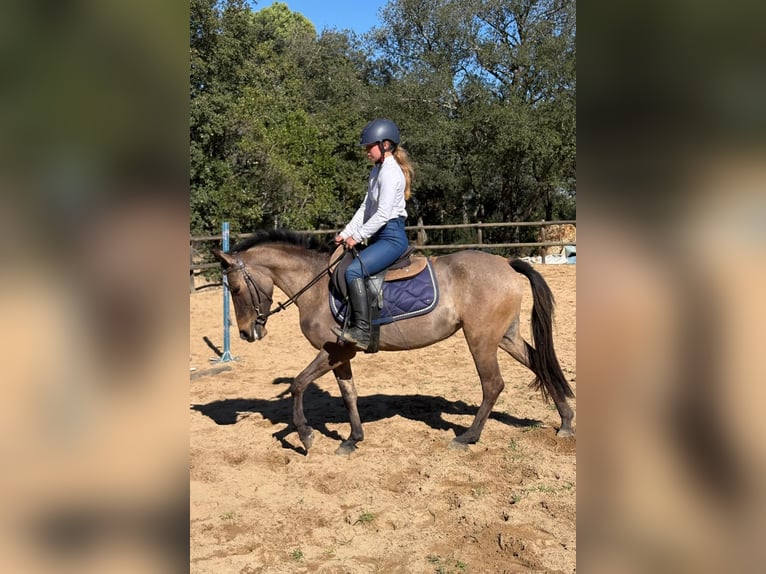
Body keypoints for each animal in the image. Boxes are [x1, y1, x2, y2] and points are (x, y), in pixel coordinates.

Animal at [212, 229, 574, 455]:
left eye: (236, 289)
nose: (246, 333)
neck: (314, 286)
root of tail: (505, 263)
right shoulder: (342, 355)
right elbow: (349, 395)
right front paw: (353, 439)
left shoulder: (333, 350)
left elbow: (299, 384)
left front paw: (306, 435)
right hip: (505, 336)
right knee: (539, 364)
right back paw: (566, 422)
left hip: (481, 339)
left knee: (493, 384)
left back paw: (468, 437)